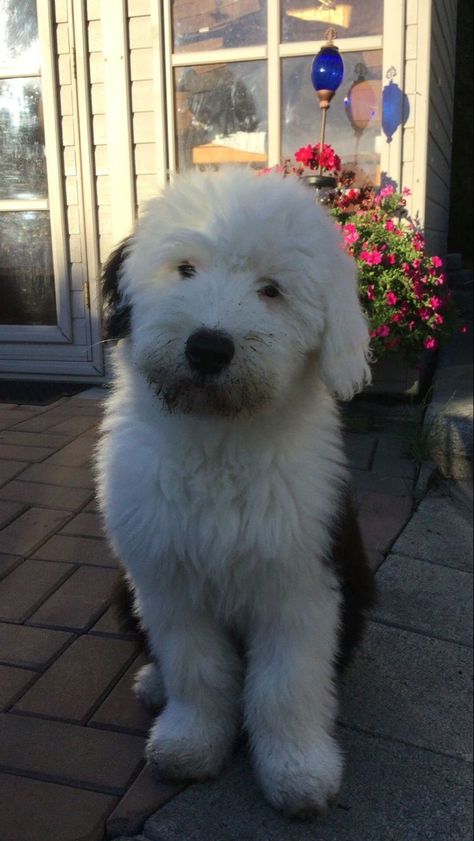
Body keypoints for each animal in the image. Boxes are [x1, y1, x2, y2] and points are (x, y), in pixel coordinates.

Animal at [96, 167, 376, 816]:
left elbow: (286, 686)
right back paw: (153, 684)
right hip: (125, 586)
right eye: (185, 269)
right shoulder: (167, 580)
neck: (218, 445)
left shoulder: (301, 584)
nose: (207, 347)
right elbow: (196, 670)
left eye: (271, 290)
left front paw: (298, 773)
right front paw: (189, 744)